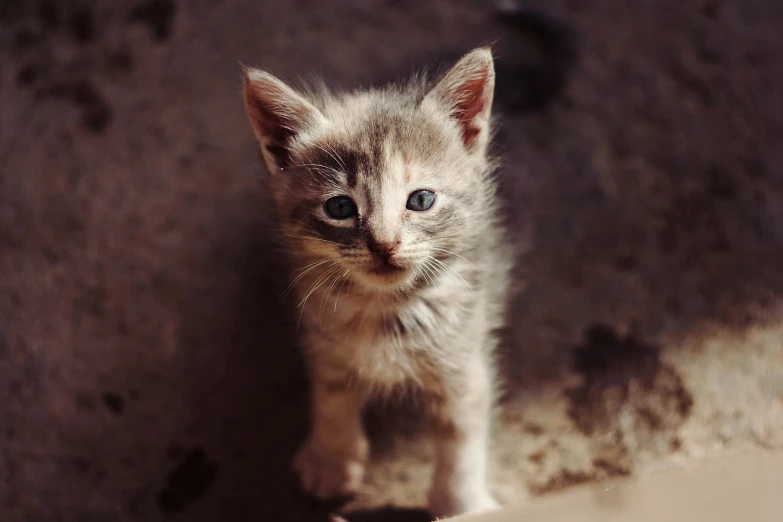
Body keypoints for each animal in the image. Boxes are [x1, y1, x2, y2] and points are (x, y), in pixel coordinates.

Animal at [245, 48, 516, 516]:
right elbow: (332, 397)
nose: (384, 244)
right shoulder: (324, 337)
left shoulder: (463, 357)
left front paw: (463, 503)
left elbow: (462, 436)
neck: (386, 307)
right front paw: (331, 460)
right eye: (339, 207)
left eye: (421, 200)